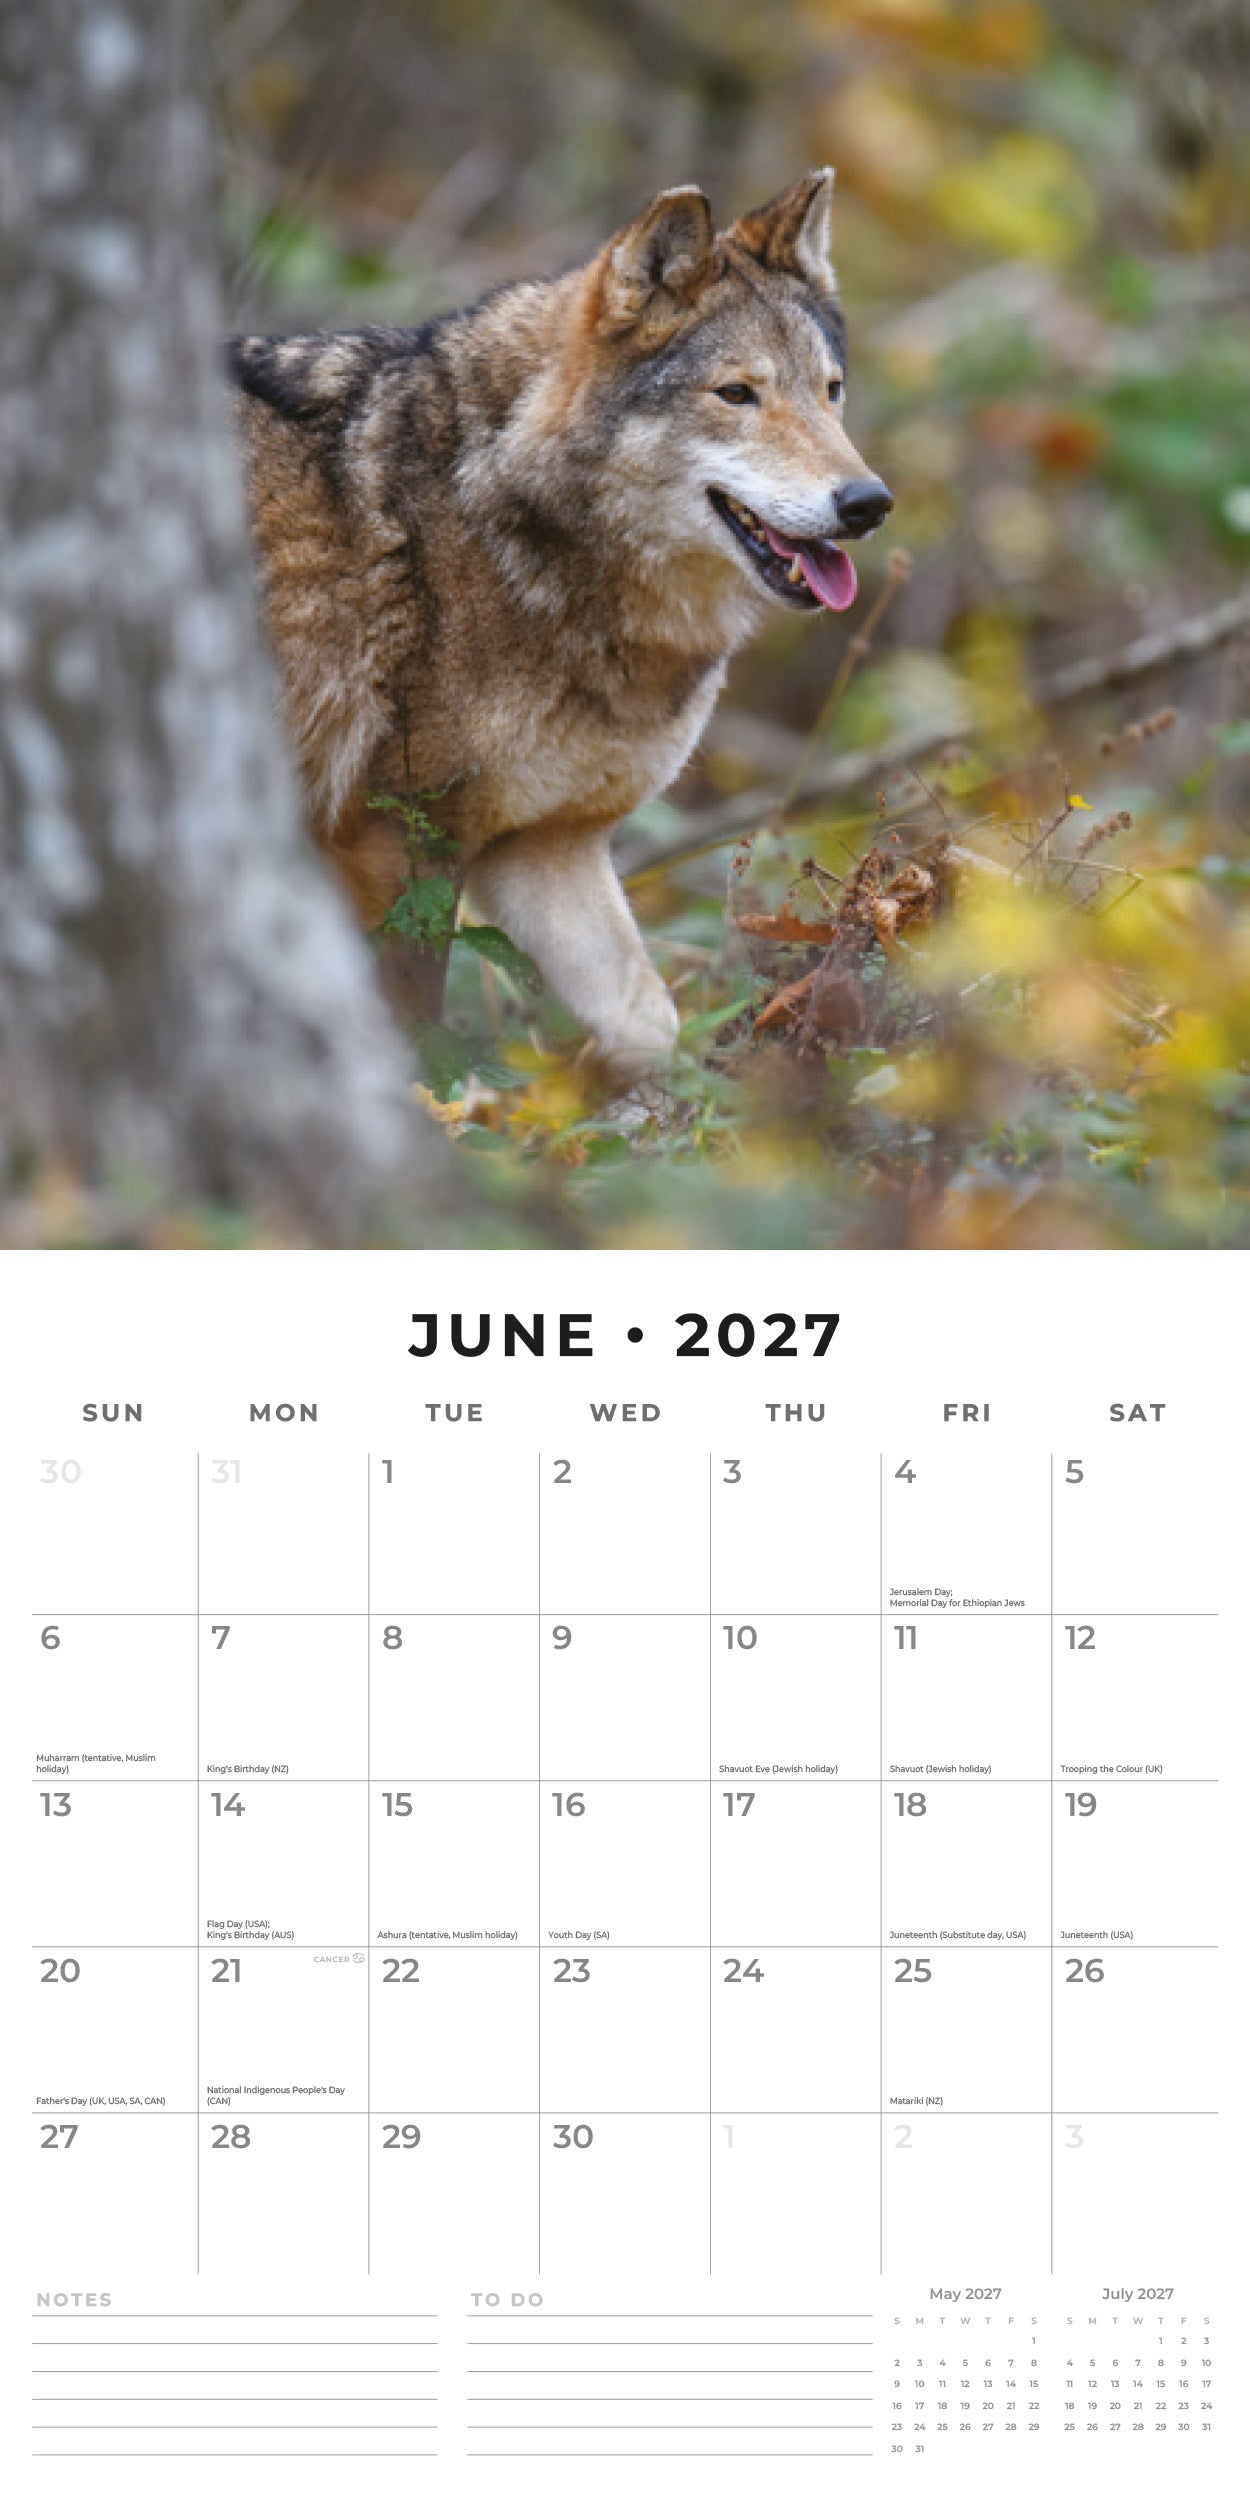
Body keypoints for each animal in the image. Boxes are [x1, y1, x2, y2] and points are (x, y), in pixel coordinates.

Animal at [231, 170, 892, 1080]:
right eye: (737, 394)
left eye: (831, 392)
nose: (868, 503)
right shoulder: (395, 847)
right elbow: (414, 1037)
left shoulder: (548, 849)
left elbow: (650, 1022)